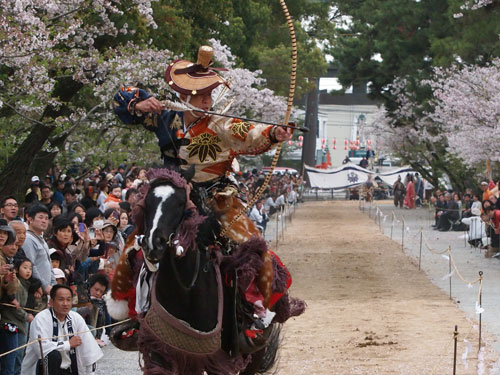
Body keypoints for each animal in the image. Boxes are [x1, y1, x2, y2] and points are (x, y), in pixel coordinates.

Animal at [135, 170, 288, 375]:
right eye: (147, 202)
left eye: (180, 202)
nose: (153, 244)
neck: (185, 288)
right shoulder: (164, 352)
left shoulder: (217, 359)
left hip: (256, 349)